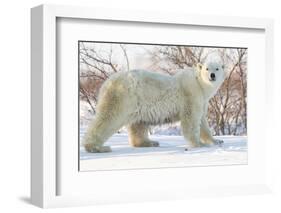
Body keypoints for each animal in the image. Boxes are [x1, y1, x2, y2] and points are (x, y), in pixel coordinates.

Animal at [82, 62, 225, 153]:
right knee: (108, 117)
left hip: (137, 103)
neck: (199, 84)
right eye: (207, 68)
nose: (212, 75)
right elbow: (191, 119)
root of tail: (107, 83)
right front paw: (199, 144)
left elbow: (202, 121)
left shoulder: (202, 100)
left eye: (217, 68)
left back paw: (150, 142)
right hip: (123, 97)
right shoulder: (191, 94)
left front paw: (217, 141)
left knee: (138, 123)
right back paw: (97, 147)